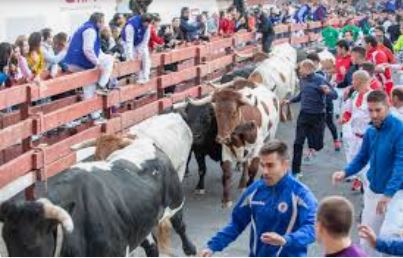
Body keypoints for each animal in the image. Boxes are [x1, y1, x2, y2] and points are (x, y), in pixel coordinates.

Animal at [0, 147, 196, 256]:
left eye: (31, 243)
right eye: (6, 241)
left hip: (176, 203)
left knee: (180, 226)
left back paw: (190, 249)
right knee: (151, 247)